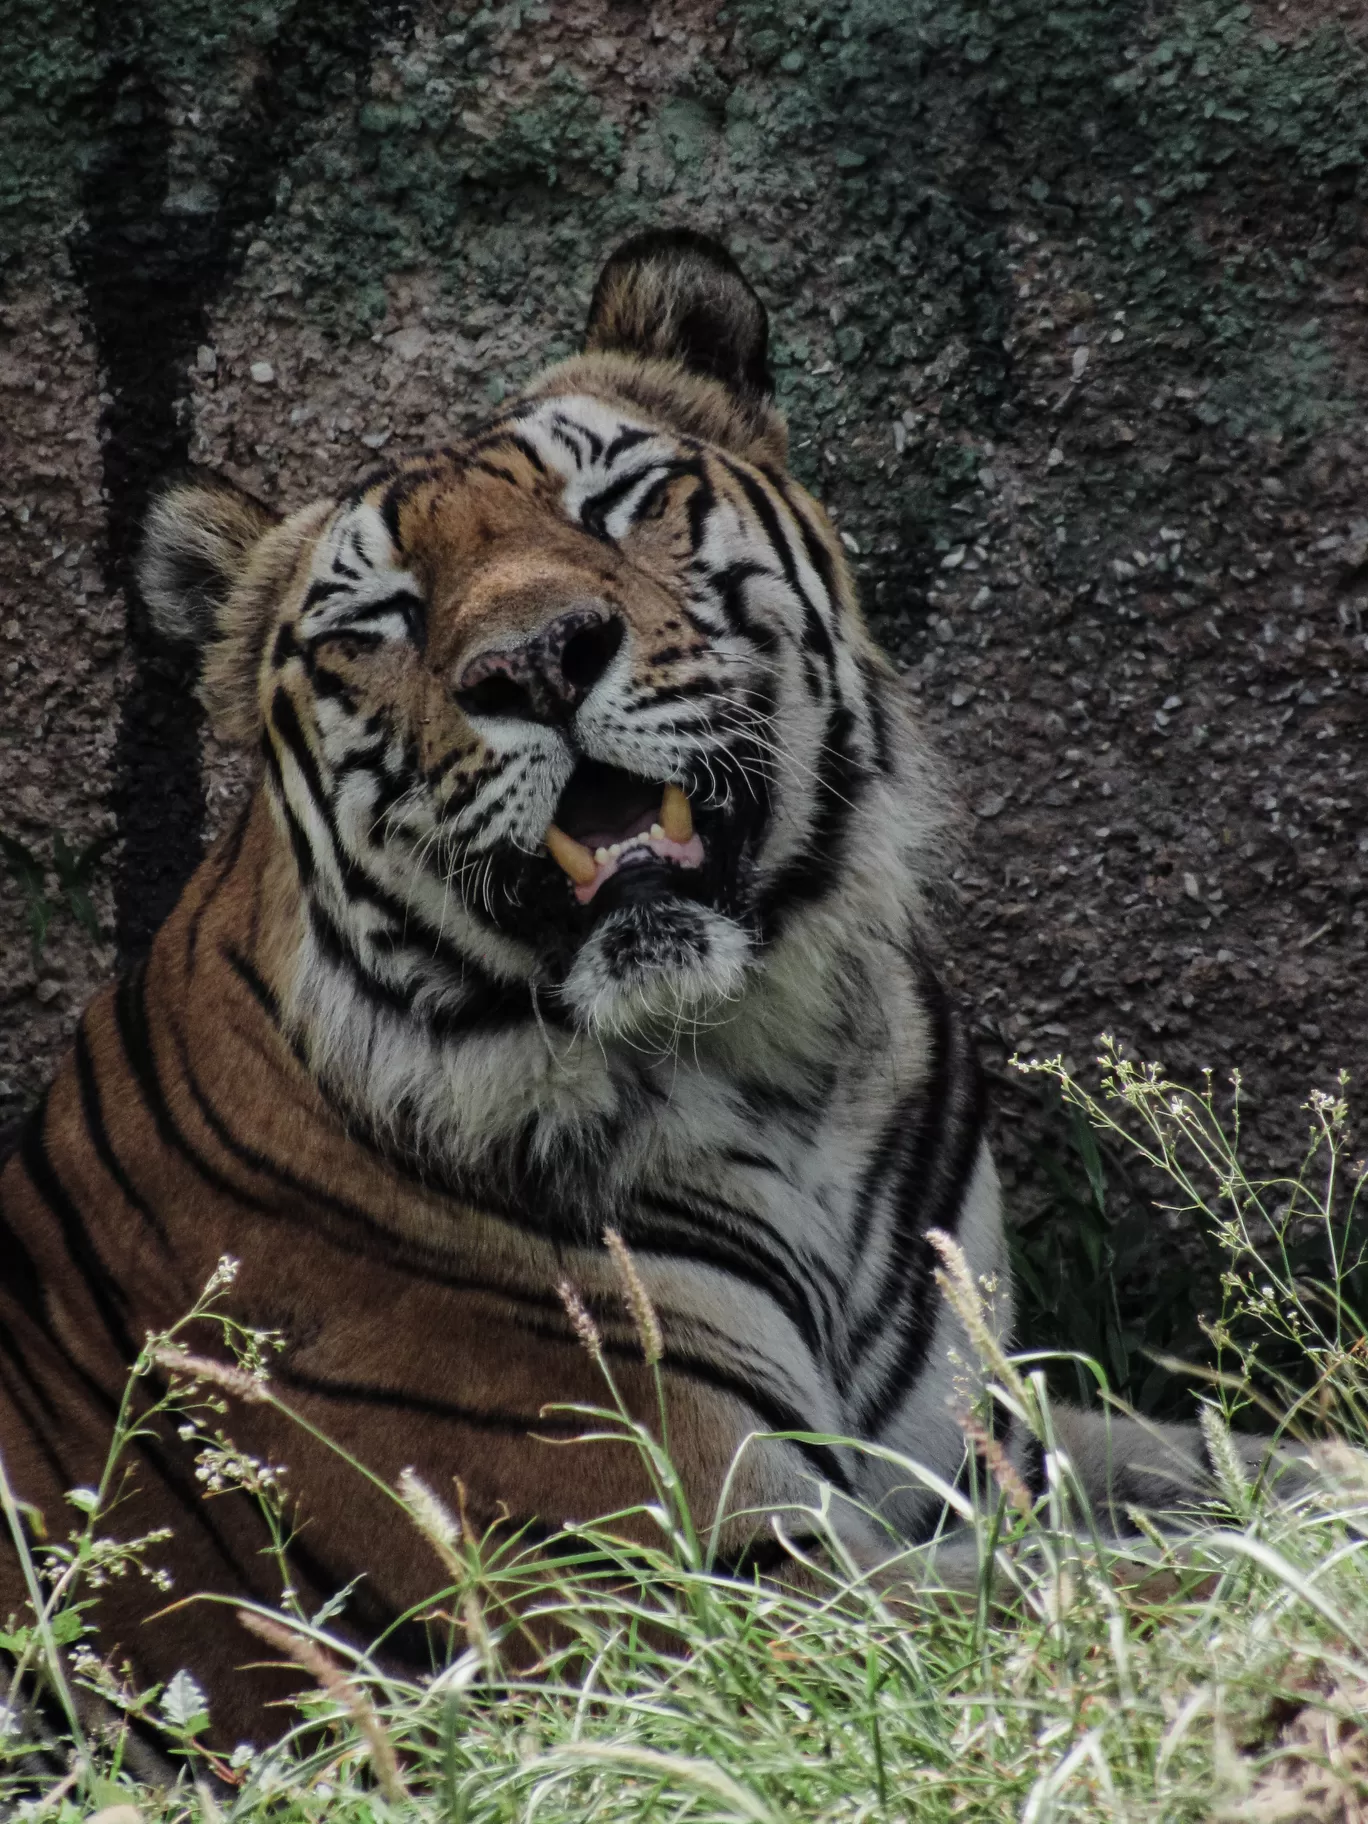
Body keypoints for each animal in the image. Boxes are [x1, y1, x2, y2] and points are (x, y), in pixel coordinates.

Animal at [0, 235, 1298, 1743]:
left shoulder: (981, 1438)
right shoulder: (701, 1578)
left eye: (616, 507)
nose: (534, 659)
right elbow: (1155, 1583)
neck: (774, 1064)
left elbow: (1244, 1465)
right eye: (382, 621)